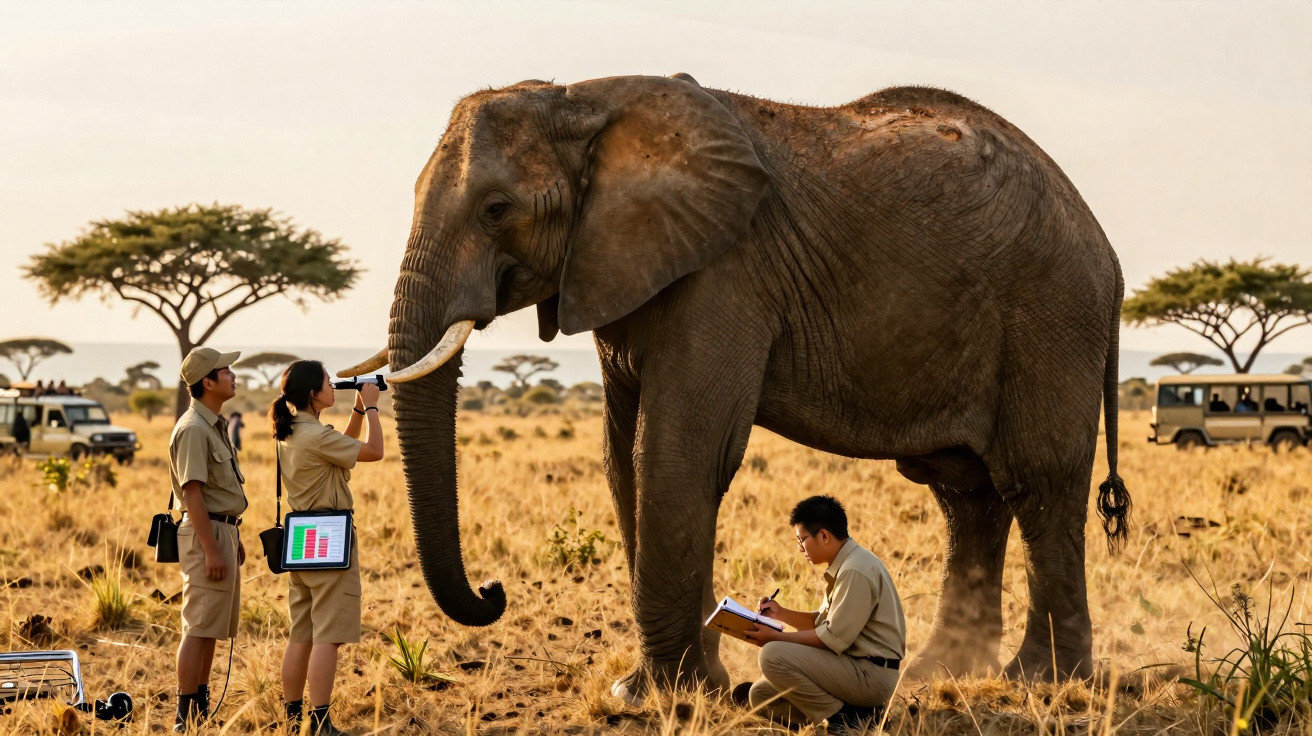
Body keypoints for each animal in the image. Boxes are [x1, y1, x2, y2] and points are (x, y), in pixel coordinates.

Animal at [340, 73, 1132, 694]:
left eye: (497, 209)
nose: (493, 590)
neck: (587, 102)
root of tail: (1111, 254)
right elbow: (623, 461)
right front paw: (690, 686)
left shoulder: (723, 275)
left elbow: (676, 454)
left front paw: (660, 695)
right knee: (967, 496)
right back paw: (942, 673)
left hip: (1051, 314)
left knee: (1038, 484)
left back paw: (1042, 683)